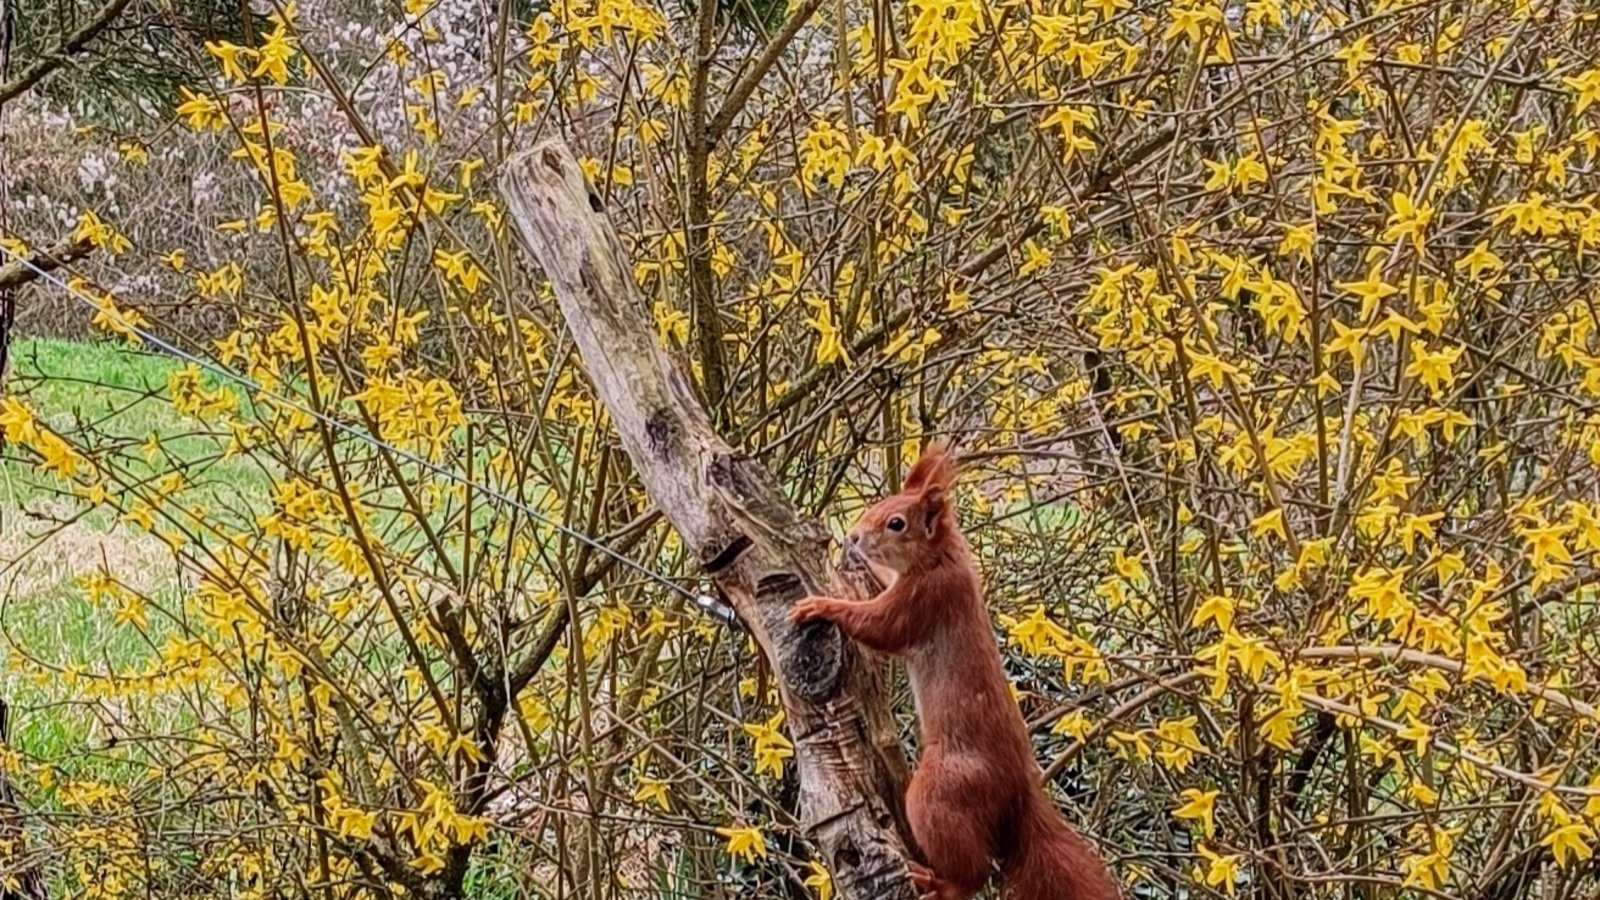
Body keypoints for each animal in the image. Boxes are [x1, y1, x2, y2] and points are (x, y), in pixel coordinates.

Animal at [790, 446, 1120, 900]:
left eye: (897, 523)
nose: (854, 537)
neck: (940, 557)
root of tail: (1019, 794)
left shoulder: (924, 600)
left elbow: (877, 626)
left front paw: (822, 605)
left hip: (939, 792)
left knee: (974, 873)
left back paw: (937, 882)